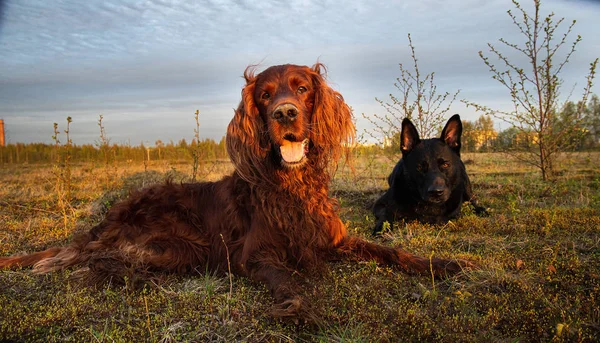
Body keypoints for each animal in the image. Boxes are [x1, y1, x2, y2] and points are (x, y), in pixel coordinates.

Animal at [0, 63, 468, 318]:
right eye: (265, 95)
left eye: (302, 88)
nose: (284, 113)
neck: (291, 186)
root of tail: (108, 217)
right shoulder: (254, 255)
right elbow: (285, 280)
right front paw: (298, 310)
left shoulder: (334, 239)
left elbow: (391, 251)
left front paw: (438, 264)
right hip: (179, 246)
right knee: (99, 260)